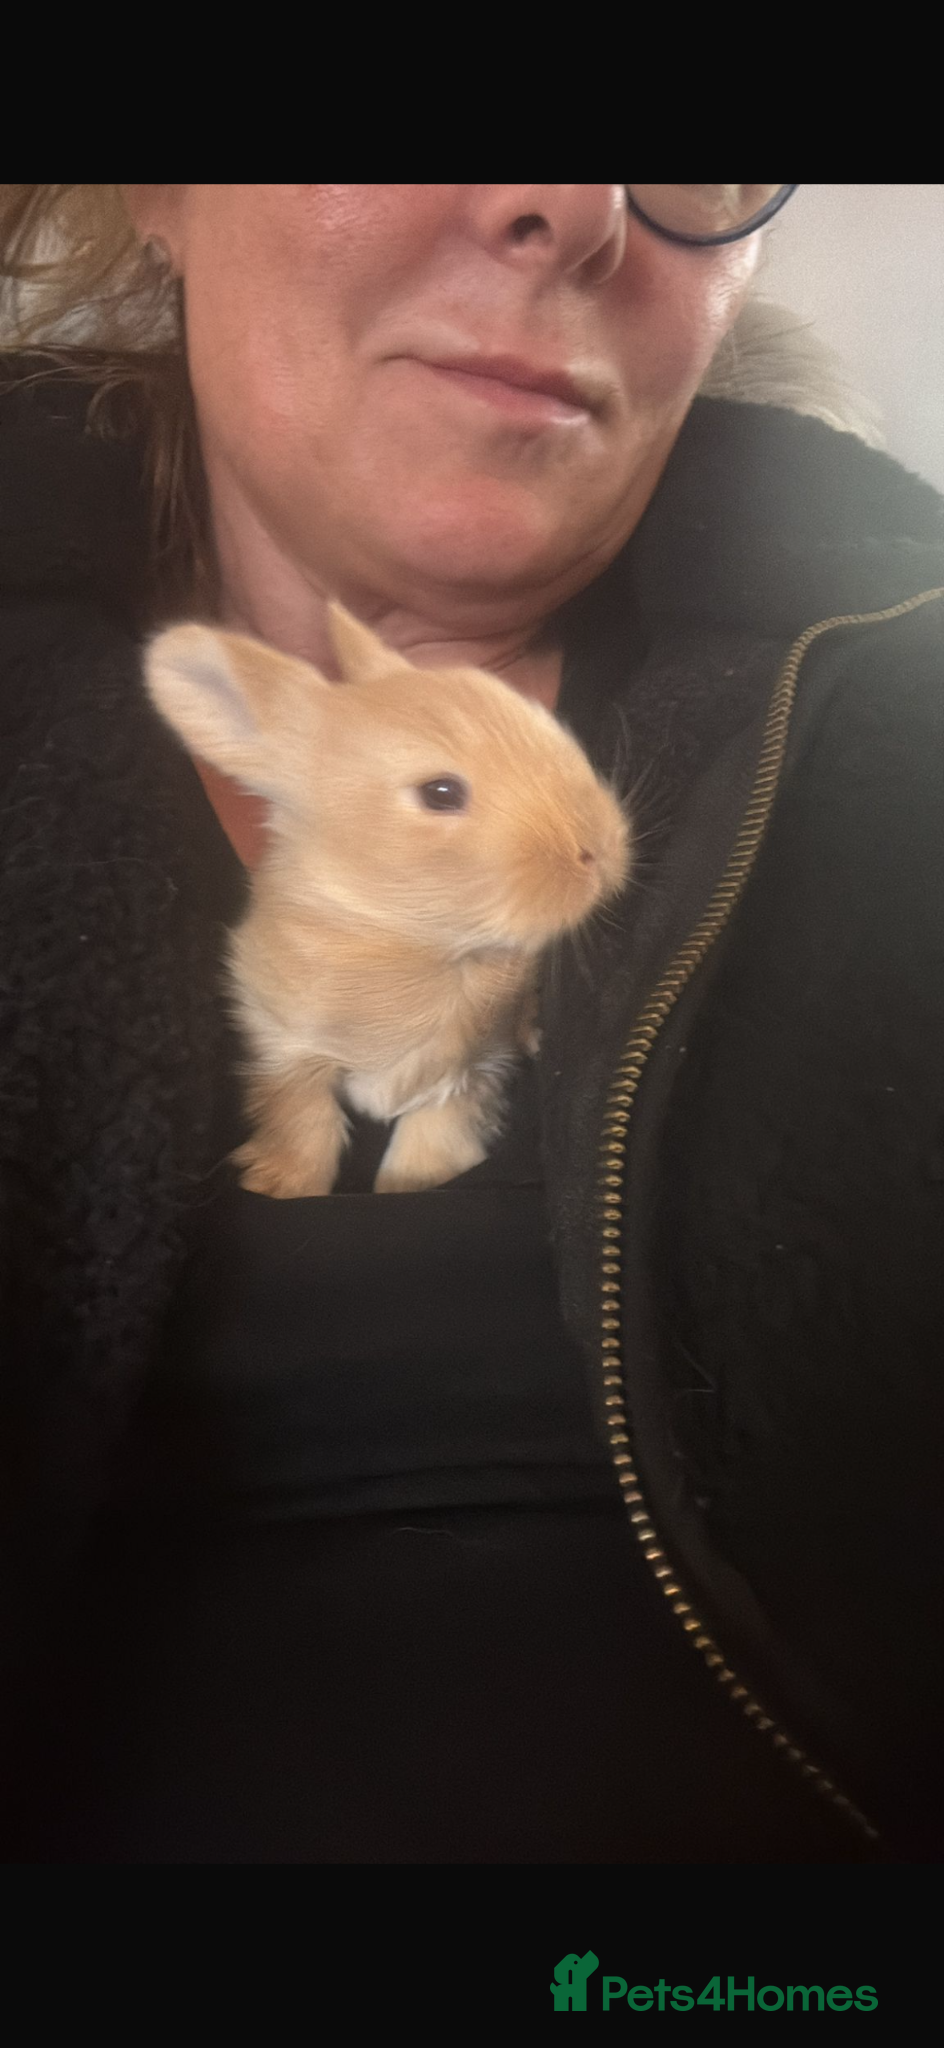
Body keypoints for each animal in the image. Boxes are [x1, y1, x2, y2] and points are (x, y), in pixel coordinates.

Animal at [145, 603, 631, 1197]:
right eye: (440, 793)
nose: (601, 849)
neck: (401, 937)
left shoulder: (467, 1075)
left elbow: (430, 1141)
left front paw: (413, 1183)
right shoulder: (286, 1048)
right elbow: (303, 1121)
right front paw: (280, 1182)